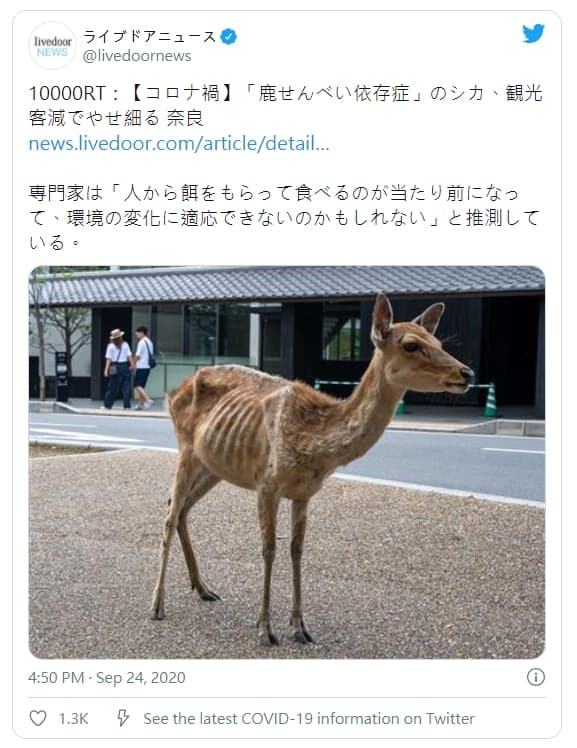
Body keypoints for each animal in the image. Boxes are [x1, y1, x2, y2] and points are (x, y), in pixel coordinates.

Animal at [151, 292, 475, 646]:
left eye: (438, 341)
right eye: (412, 345)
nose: (467, 373)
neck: (316, 448)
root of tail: (172, 392)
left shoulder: (305, 493)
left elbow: (297, 550)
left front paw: (300, 627)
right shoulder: (267, 483)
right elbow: (269, 548)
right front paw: (265, 629)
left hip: (215, 465)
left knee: (182, 508)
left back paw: (203, 588)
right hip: (185, 448)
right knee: (169, 513)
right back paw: (157, 605)